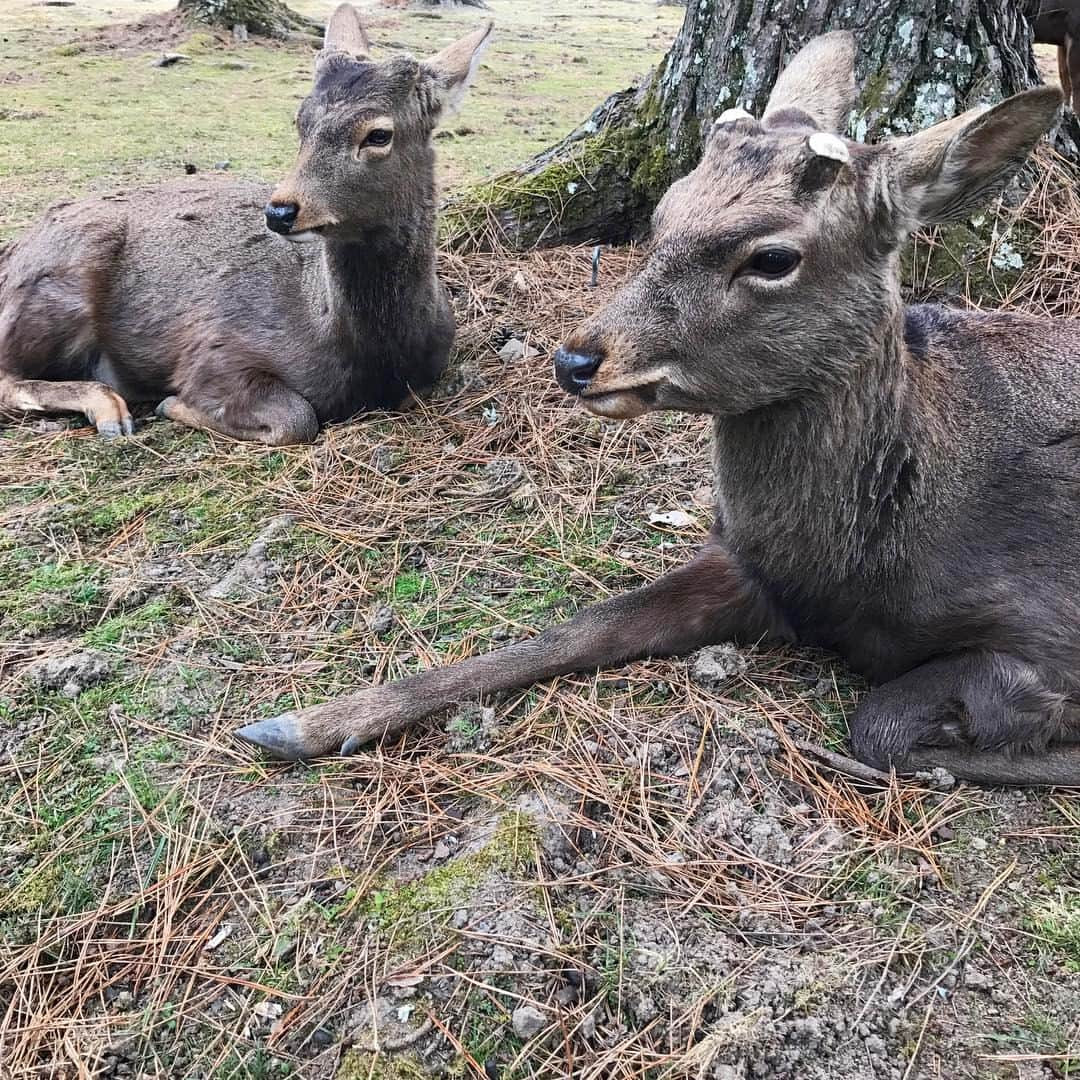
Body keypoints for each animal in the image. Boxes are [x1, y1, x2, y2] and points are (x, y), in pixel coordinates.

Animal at [0, 6, 490, 444]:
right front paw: (172, 403)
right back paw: (109, 409)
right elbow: (296, 418)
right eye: (300, 120)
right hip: (60, 276)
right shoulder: (216, 349)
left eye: (379, 134)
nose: (281, 211)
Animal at [238, 31, 1080, 786]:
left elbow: (881, 724)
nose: (576, 360)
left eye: (773, 257)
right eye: (663, 212)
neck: (853, 570)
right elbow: (587, 623)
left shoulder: (1049, 627)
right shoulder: (744, 568)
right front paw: (305, 721)